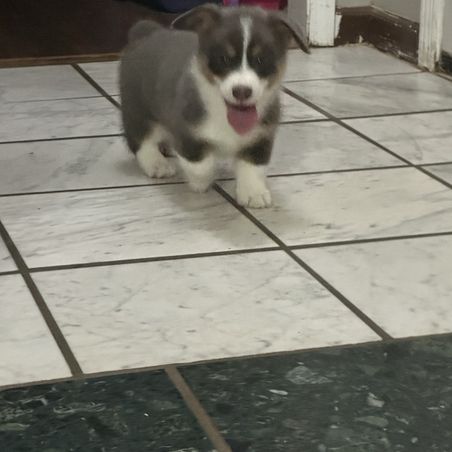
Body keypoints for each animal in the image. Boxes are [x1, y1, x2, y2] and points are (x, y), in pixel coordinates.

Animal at [120, 4, 309, 208]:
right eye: (224, 58)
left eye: (260, 60)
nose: (242, 91)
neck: (224, 113)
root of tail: (146, 32)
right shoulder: (188, 131)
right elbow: (200, 165)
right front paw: (201, 182)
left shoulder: (261, 137)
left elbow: (253, 167)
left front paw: (253, 193)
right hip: (138, 111)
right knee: (141, 140)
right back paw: (157, 164)